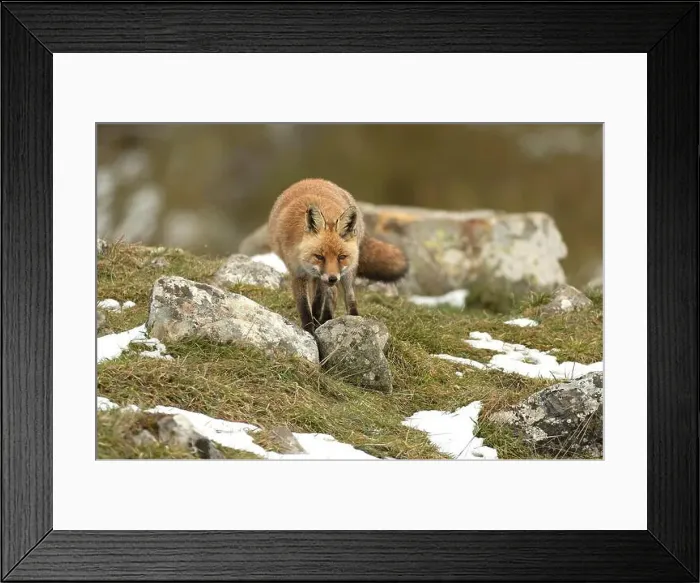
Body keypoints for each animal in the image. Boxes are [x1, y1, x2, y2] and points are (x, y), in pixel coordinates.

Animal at [267, 178, 409, 334]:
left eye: (341, 257)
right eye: (319, 256)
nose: (333, 278)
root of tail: (315, 179)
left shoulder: (323, 279)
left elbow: (318, 302)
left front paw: (316, 323)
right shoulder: (298, 273)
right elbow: (304, 307)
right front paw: (309, 330)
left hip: (348, 273)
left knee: (348, 296)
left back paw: (350, 318)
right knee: (332, 293)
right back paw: (326, 319)